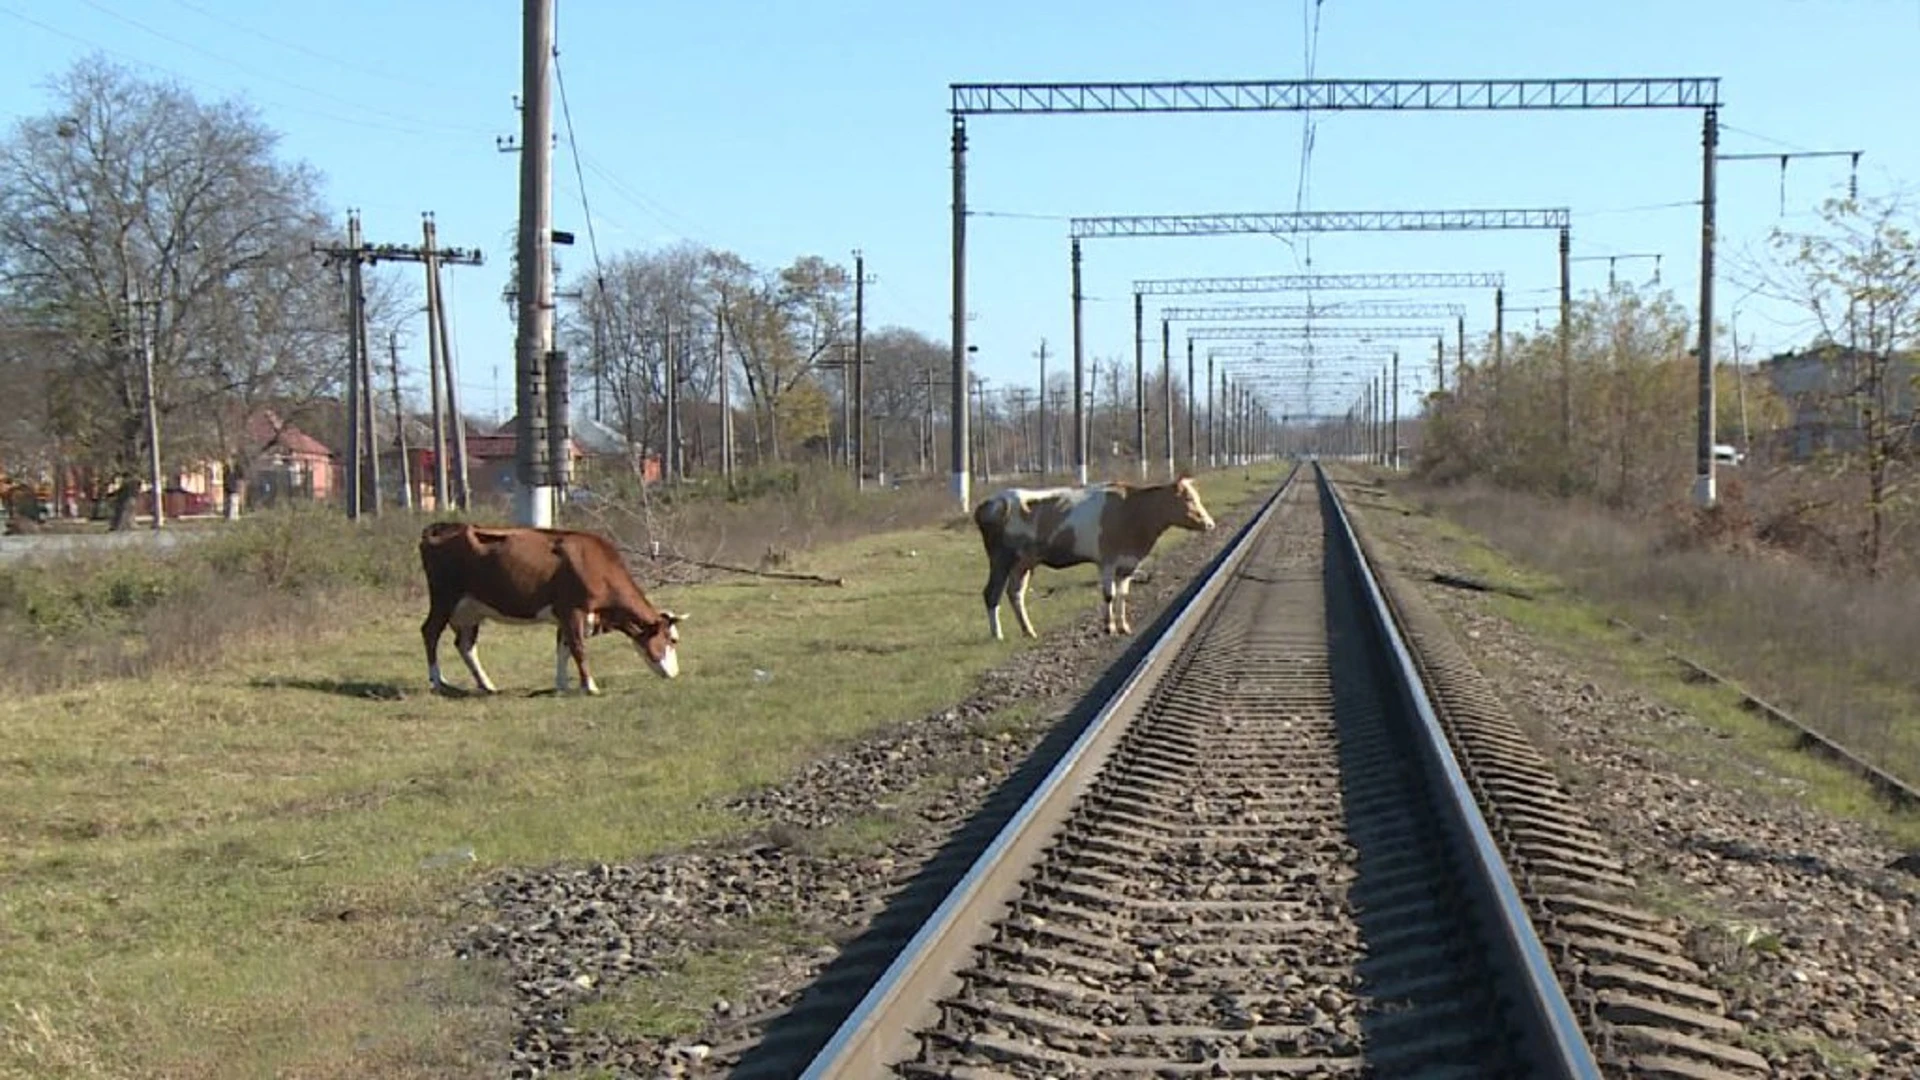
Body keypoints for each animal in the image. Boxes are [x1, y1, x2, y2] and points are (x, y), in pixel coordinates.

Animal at [420, 518, 691, 687]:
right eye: (672, 640)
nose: (675, 674)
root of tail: (444, 526)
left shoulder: (565, 616)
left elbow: (563, 649)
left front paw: (562, 685)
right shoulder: (573, 611)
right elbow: (578, 648)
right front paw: (590, 686)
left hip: (470, 610)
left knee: (465, 645)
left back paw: (486, 684)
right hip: (444, 598)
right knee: (430, 632)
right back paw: (438, 681)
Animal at [975, 472, 1213, 638]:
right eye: (1188, 499)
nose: (1210, 524)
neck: (1133, 511)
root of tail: (992, 501)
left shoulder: (1127, 563)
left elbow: (1123, 595)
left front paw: (1124, 626)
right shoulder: (1107, 561)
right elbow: (1109, 595)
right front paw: (1109, 627)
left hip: (1024, 562)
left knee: (1015, 593)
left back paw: (1029, 631)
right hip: (1001, 558)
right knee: (991, 593)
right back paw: (997, 635)